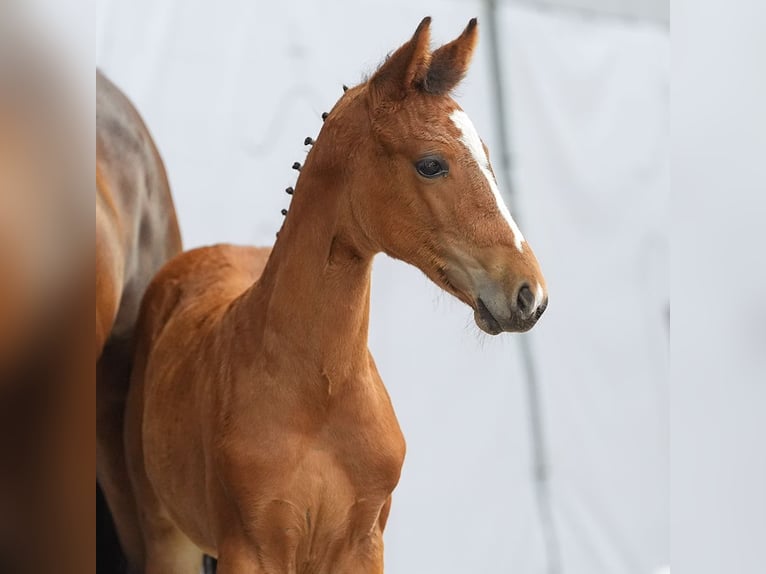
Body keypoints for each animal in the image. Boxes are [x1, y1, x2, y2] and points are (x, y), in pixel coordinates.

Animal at [124, 19, 544, 574]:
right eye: (431, 164)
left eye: (490, 160)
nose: (529, 294)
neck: (321, 393)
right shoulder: (252, 549)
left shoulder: (362, 545)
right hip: (166, 536)